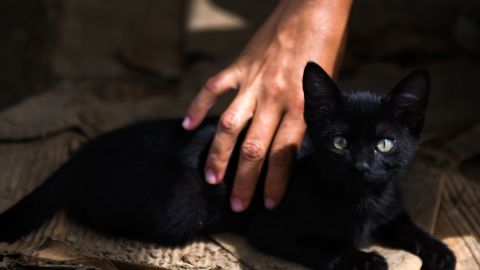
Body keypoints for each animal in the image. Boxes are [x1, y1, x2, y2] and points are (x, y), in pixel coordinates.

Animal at [0, 62, 456, 268]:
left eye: (384, 144)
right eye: (339, 143)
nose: (361, 166)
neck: (360, 201)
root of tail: (86, 150)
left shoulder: (390, 207)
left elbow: (408, 226)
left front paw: (440, 250)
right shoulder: (270, 228)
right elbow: (326, 246)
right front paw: (363, 258)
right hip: (175, 211)